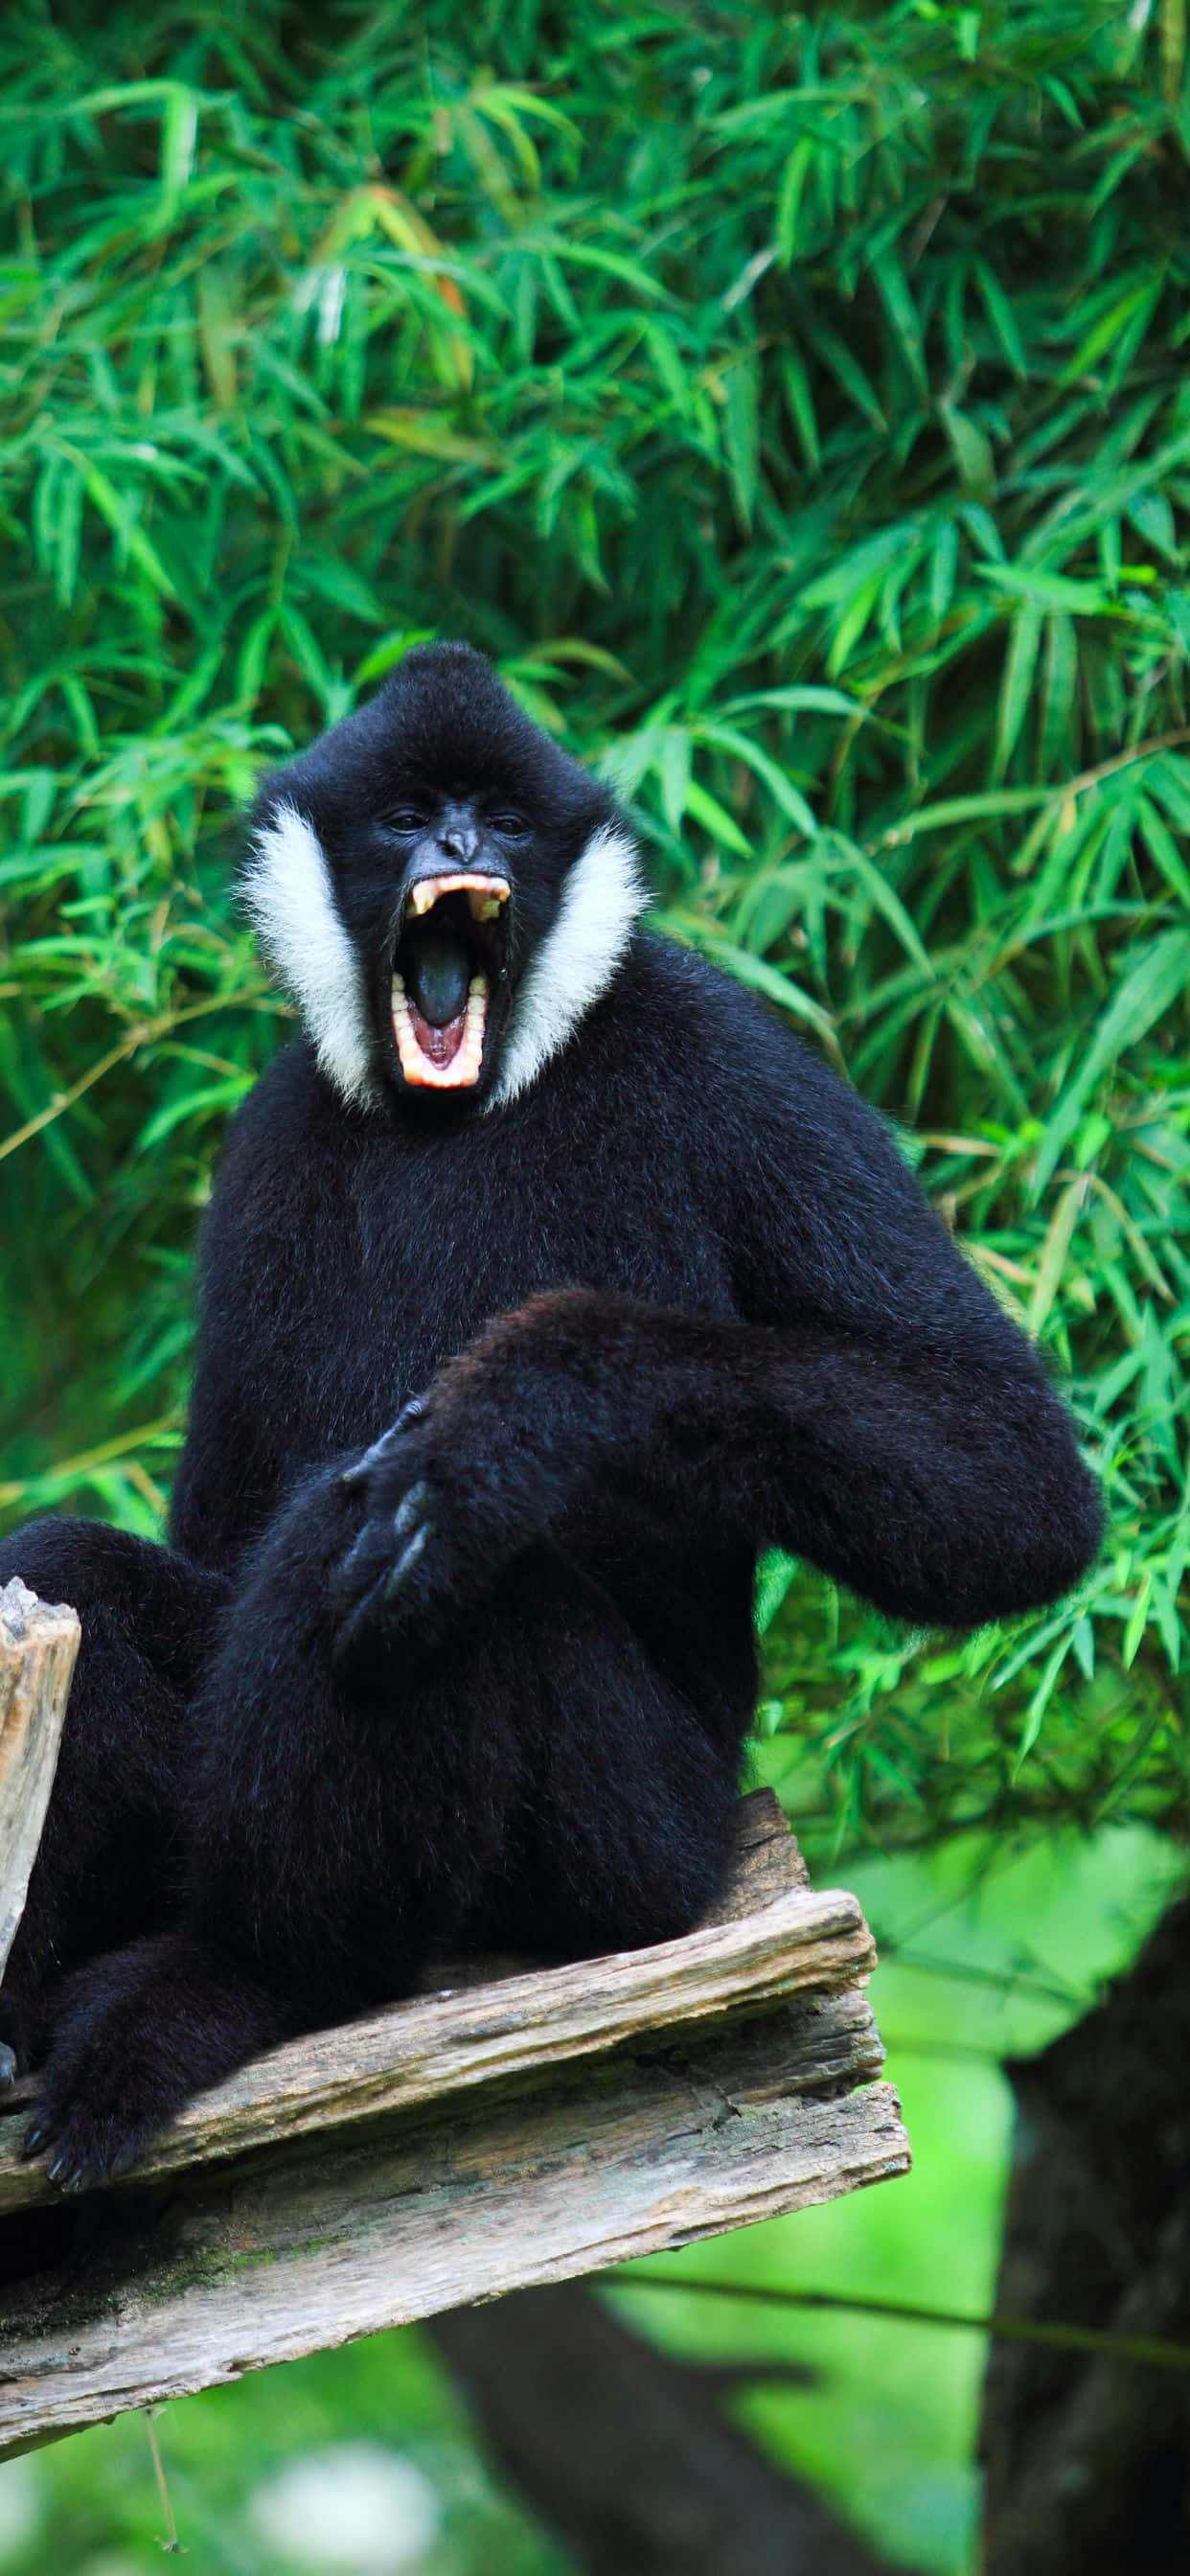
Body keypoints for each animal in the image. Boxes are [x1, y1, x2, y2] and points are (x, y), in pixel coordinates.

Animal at [0, 642, 1103, 2189]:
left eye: (504, 822)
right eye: (409, 816)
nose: (457, 851)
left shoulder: (721, 1051)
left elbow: (1011, 1480)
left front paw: (513, 1414)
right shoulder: (270, 1136)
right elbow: (208, 1530)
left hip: (636, 1848)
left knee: (429, 1568)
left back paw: (245, 1982)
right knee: (76, 1570)